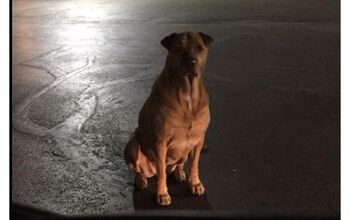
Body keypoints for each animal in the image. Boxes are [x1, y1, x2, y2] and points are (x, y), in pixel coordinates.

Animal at [125, 31, 213, 206]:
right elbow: (162, 175)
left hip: (185, 152)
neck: (188, 95)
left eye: (199, 48)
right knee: (140, 169)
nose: (191, 62)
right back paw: (141, 180)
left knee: (178, 163)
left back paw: (179, 172)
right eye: (178, 47)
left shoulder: (199, 139)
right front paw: (162, 194)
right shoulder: (161, 142)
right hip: (132, 144)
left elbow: (195, 164)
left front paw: (195, 183)